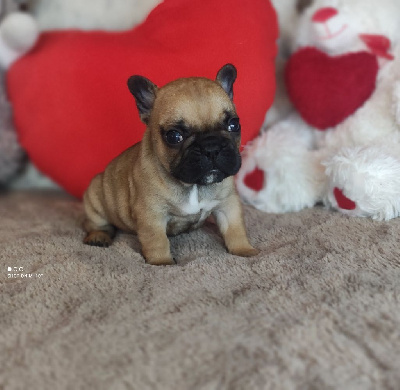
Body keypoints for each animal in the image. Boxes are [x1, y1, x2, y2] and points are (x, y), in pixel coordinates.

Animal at [83, 64, 260, 266]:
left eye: (234, 125)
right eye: (174, 136)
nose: (211, 147)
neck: (194, 186)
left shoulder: (228, 204)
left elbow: (235, 229)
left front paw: (244, 250)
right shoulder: (151, 215)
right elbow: (157, 241)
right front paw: (162, 263)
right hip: (95, 199)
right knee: (95, 224)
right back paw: (98, 237)